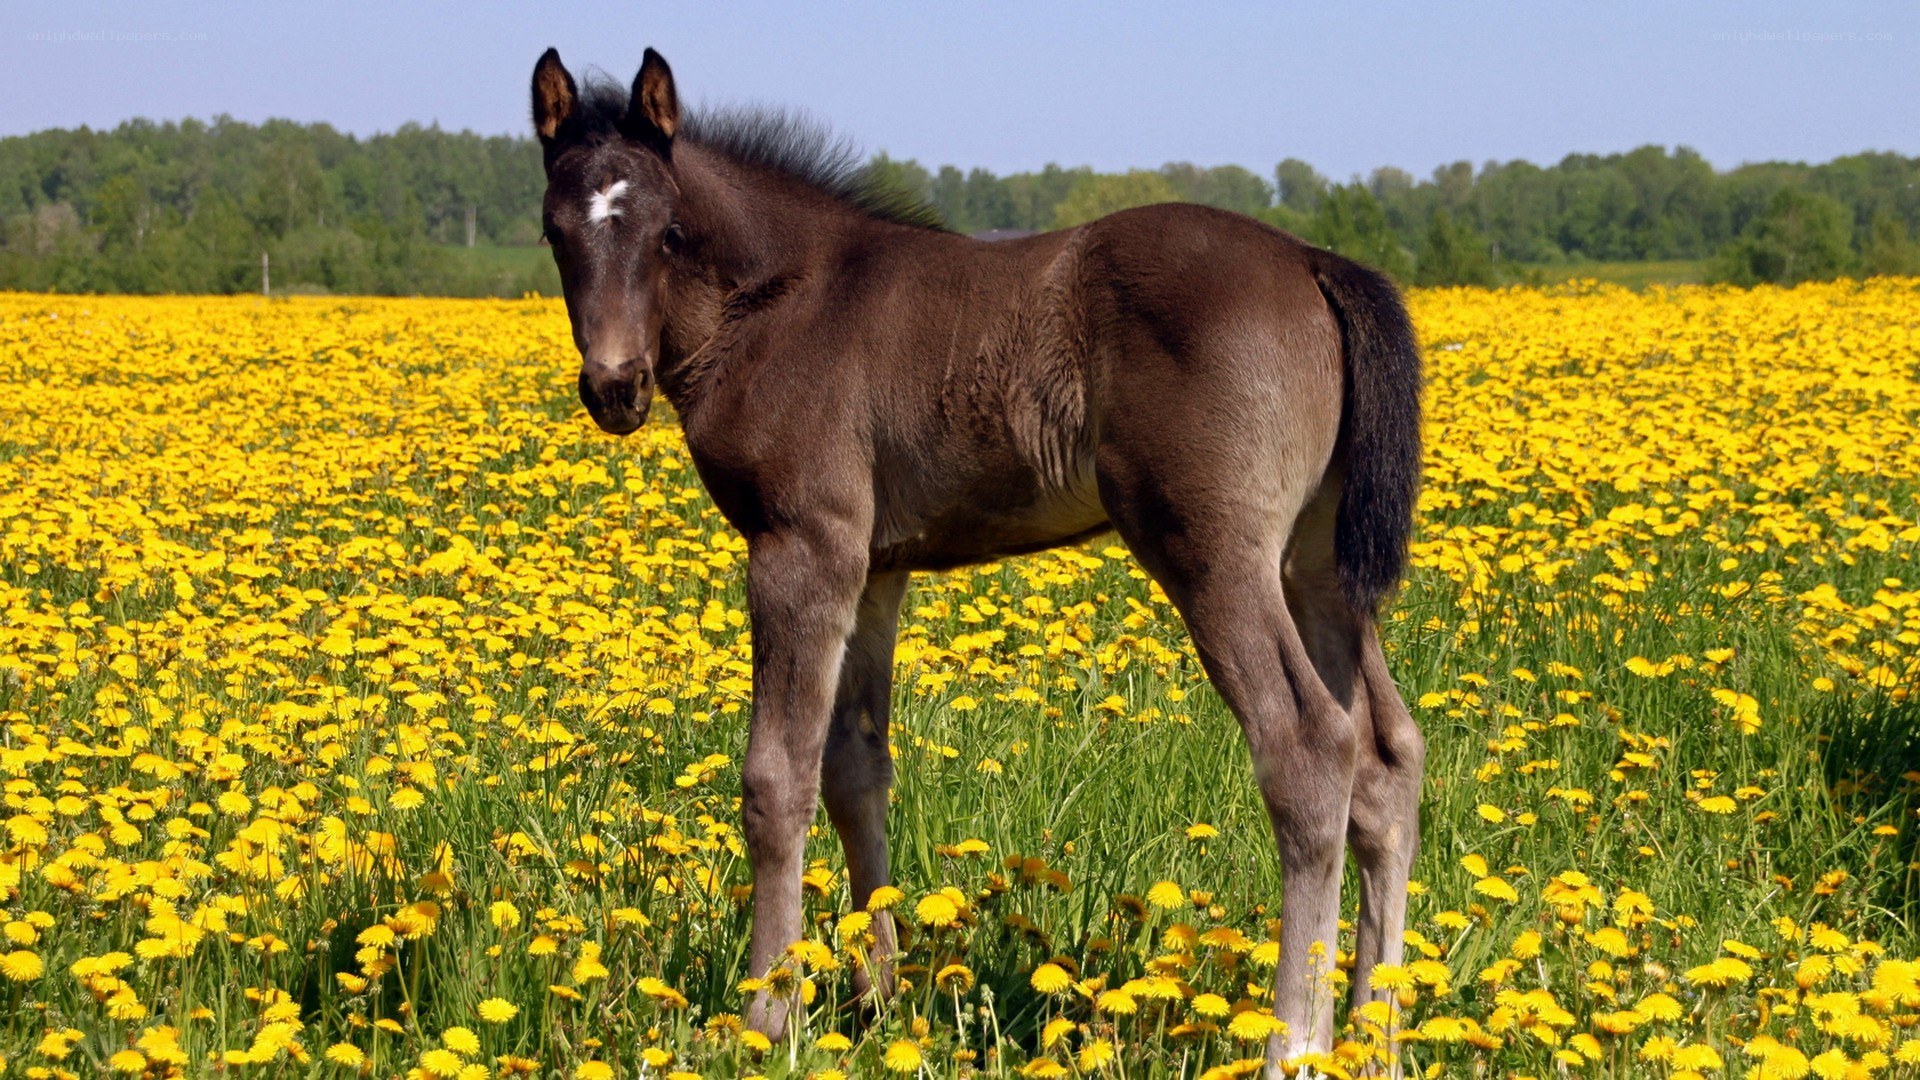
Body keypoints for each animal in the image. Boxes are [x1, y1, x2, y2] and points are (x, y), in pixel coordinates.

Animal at [529, 46, 1425, 1074]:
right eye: (555, 230)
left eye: (669, 232)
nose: (616, 385)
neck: (783, 302)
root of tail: (1317, 262)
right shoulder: (874, 567)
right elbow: (855, 766)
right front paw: (877, 997)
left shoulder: (801, 546)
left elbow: (775, 778)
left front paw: (765, 1016)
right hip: (1315, 569)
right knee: (1387, 758)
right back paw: (1376, 1031)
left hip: (1212, 553)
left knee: (1312, 747)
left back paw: (1292, 1045)